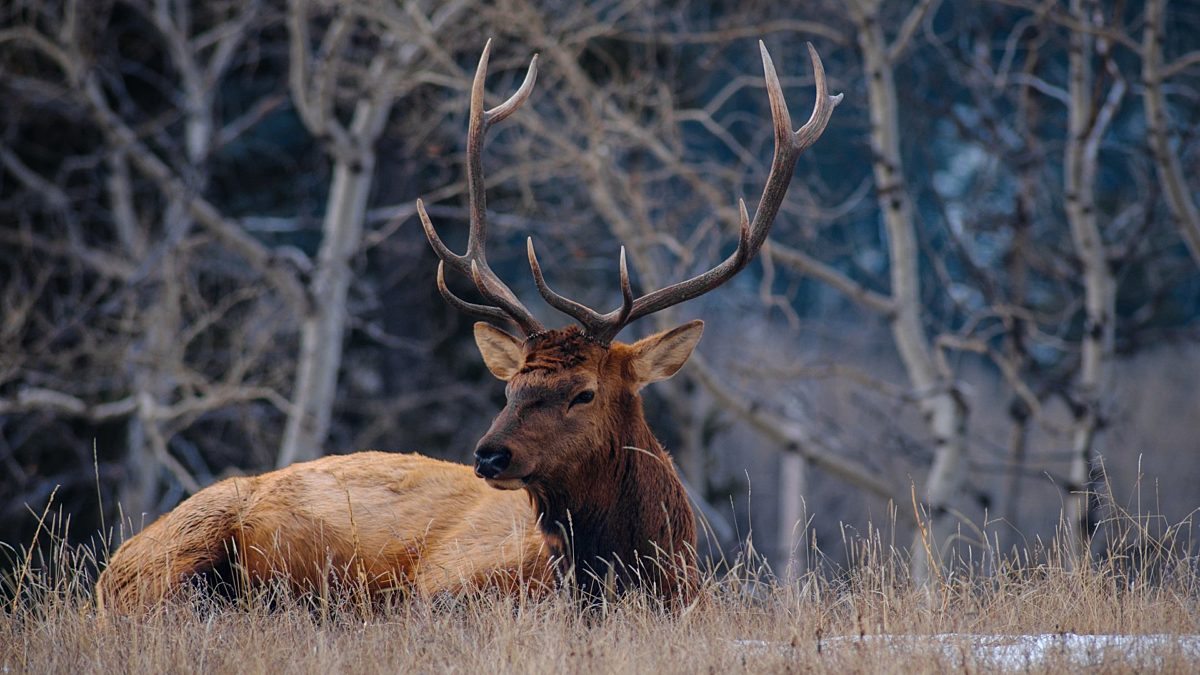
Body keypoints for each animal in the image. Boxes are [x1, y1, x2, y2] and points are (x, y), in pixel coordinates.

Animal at [95, 40, 840, 613]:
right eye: (510, 387)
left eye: (584, 392)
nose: (489, 455)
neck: (646, 574)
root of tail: (105, 574)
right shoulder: (447, 586)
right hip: (179, 549)